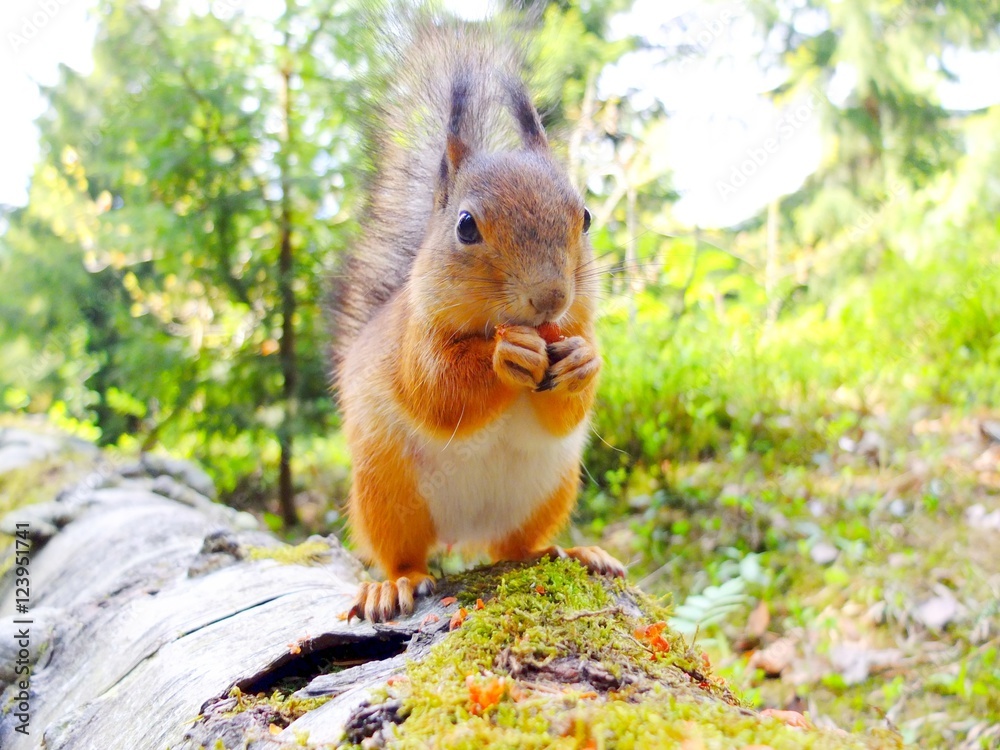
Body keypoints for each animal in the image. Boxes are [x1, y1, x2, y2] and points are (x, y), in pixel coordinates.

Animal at [332, 18, 624, 623]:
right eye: (465, 225)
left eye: (585, 216)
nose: (551, 298)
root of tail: (464, 532)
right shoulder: (412, 342)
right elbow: (438, 391)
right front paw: (504, 356)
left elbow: (570, 404)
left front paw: (583, 361)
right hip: (387, 493)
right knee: (403, 553)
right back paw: (392, 585)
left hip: (547, 491)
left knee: (517, 545)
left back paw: (576, 552)